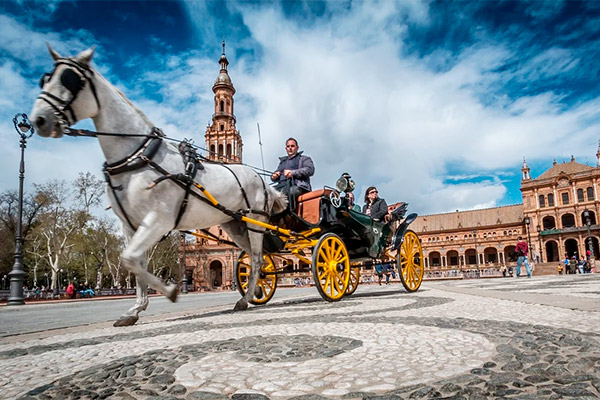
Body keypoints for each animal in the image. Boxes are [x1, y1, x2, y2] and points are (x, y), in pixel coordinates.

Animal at [29, 45, 288, 326]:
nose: (38, 119)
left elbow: (130, 259)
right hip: (236, 225)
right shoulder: (131, 226)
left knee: (258, 258)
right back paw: (253, 294)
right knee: (255, 258)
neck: (138, 156)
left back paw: (245, 298)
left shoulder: (158, 220)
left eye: (70, 79)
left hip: (255, 222)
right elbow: (134, 262)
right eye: (45, 79)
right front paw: (135, 309)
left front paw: (170, 291)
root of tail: (261, 180)